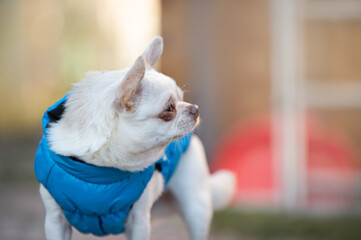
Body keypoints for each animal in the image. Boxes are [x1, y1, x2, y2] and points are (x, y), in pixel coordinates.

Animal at [35, 36, 235, 240]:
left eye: (181, 97)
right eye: (169, 108)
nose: (195, 108)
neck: (97, 173)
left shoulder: (139, 221)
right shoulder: (55, 221)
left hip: (196, 207)